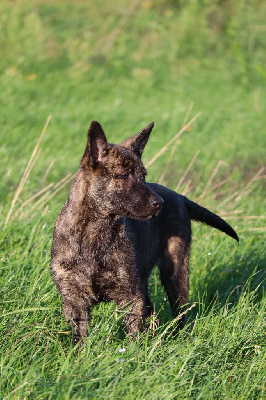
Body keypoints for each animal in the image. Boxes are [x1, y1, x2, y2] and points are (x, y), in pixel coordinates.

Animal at [50, 119, 239, 344]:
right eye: (124, 175)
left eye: (143, 176)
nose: (159, 203)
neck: (93, 235)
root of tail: (180, 197)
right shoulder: (74, 302)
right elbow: (80, 340)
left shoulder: (130, 296)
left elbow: (134, 335)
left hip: (175, 273)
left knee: (181, 314)